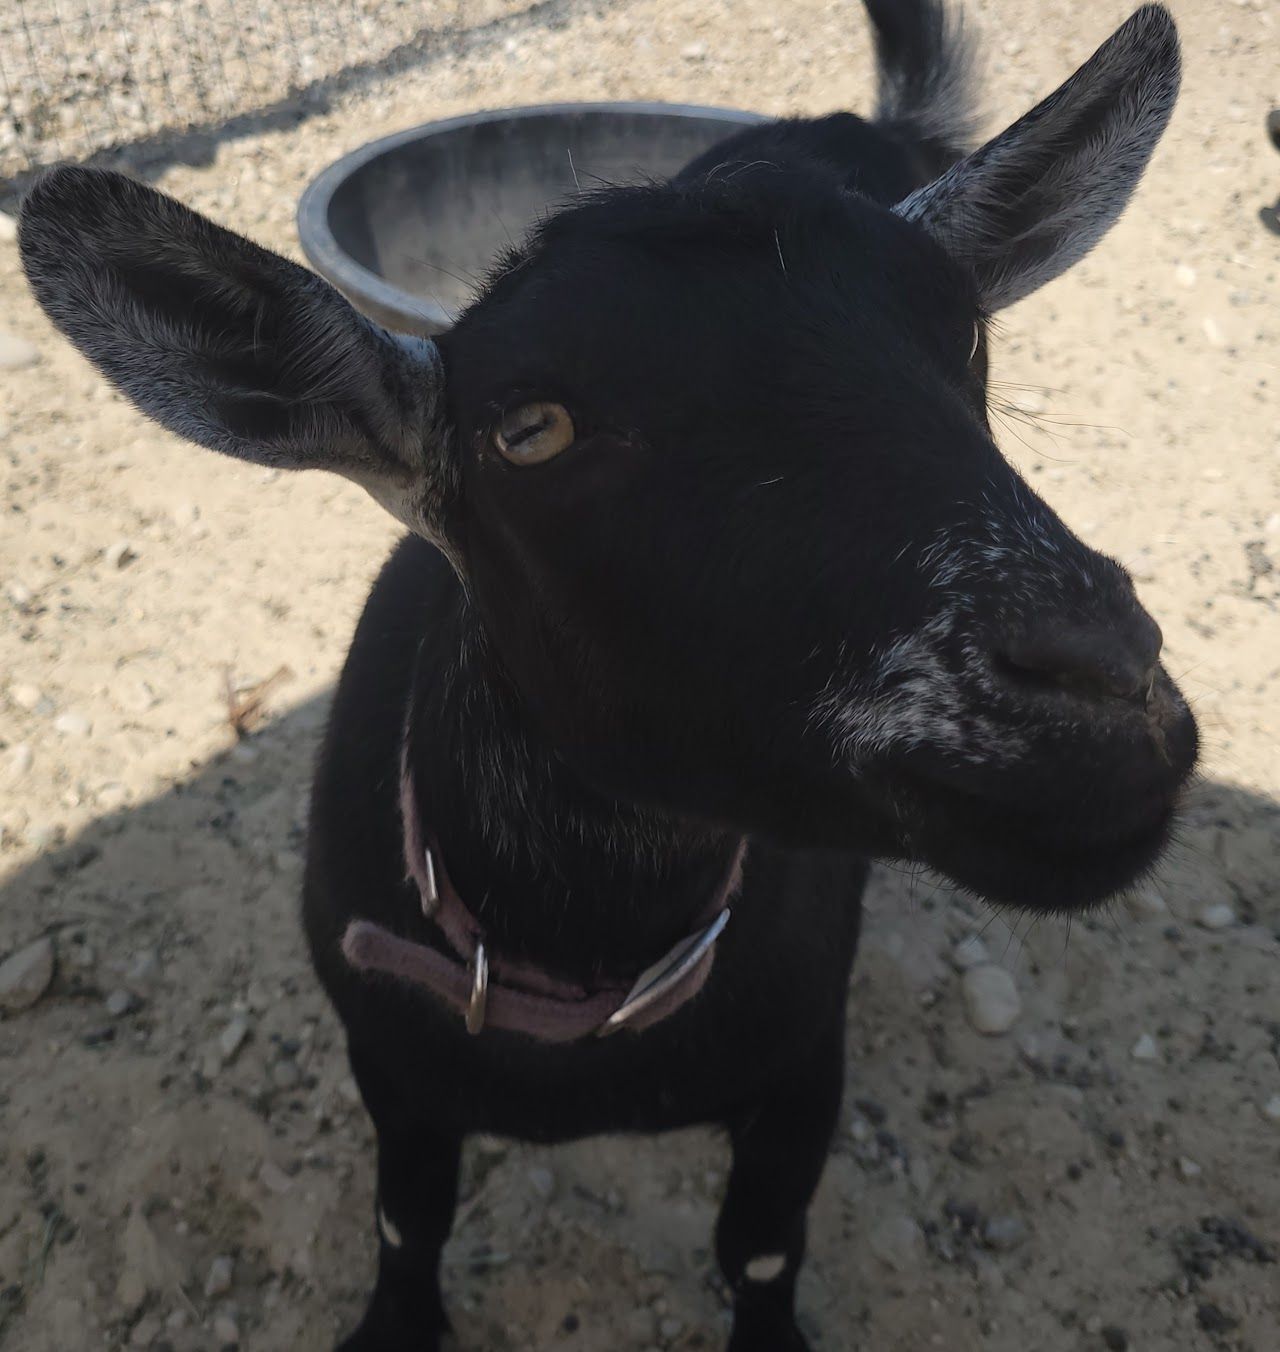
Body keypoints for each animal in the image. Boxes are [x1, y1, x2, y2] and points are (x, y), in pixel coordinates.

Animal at [18, 2, 1196, 1347]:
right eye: (528, 429)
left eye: (965, 339)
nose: (1103, 687)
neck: (583, 961)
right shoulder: (388, 1064)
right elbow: (405, 1221)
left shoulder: (803, 1061)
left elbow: (759, 1247)